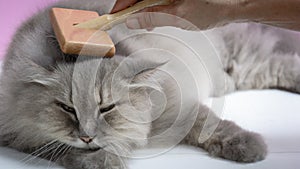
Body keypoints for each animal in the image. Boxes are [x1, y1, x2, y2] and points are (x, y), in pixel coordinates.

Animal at [0, 0, 298, 169]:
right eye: (67, 108)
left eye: (106, 108)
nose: (87, 136)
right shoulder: (20, 133)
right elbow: (65, 149)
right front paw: (101, 160)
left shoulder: (180, 107)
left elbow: (211, 125)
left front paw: (250, 147)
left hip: (241, 57)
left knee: (280, 63)